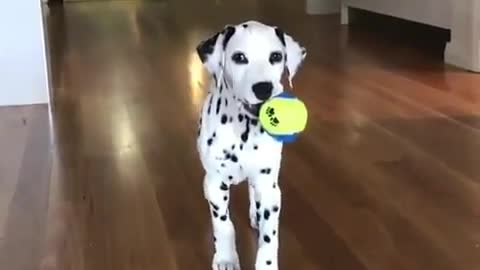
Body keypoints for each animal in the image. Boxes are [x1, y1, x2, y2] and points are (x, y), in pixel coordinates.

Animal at [196, 20, 306, 268]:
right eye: (239, 57)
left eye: (276, 56)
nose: (264, 88)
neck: (243, 129)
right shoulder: (217, 183)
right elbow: (223, 225)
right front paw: (226, 258)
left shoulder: (269, 187)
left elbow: (269, 237)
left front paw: (267, 264)